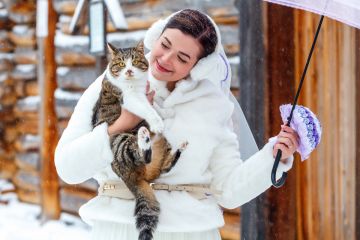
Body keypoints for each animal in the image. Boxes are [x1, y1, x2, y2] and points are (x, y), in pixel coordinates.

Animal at [91, 41, 187, 240]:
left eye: (134, 61)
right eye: (121, 63)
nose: (128, 71)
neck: (134, 84)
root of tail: (131, 177)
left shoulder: (146, 92)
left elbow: (154, 104)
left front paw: (165, 111)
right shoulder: (129, 99)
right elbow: (147, 109)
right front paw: (157, 121)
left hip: (163, 148)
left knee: (164, 166)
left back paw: (178, 147)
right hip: (120, 141)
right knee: (139, 154)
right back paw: (144, 136)